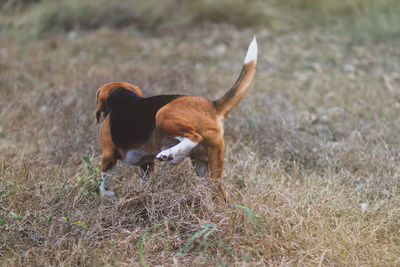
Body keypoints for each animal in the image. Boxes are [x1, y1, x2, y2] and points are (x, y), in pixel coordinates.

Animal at [95, 37, 258, 201]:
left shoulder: (108, 156)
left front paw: (106, 196)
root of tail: (212, 105)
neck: (122, 96)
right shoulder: (147, 163)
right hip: (208, 168)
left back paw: (169, 154)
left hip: (162, 116)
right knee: (221, 196)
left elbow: (105, 181)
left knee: (194, 137)